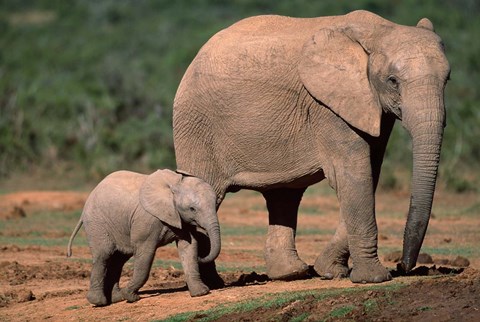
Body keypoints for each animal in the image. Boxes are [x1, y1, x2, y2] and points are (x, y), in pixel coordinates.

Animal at [67, 169, 221, 306]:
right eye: (192, 209)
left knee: (119, 259)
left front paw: (201, 293)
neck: (174, 184)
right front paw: (131, 297)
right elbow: (145, 253)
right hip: (97, 223)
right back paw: (99, 302)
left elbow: (189, 247)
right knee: (103, 255)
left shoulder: (180, 218)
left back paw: (117, 299)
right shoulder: (147, 220)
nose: (202, 256)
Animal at [172, 10, 450, 284]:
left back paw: (290, 273)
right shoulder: (326, 106)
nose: (404, 266)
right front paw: (374, 279)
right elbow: (352, 173)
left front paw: (330, 271)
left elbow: (369, 171)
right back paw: (212, 284)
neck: (379, 30)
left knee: (284, 195)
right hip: (197, 126)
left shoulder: (369, 104)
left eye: (447, 79)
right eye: (393, 81)